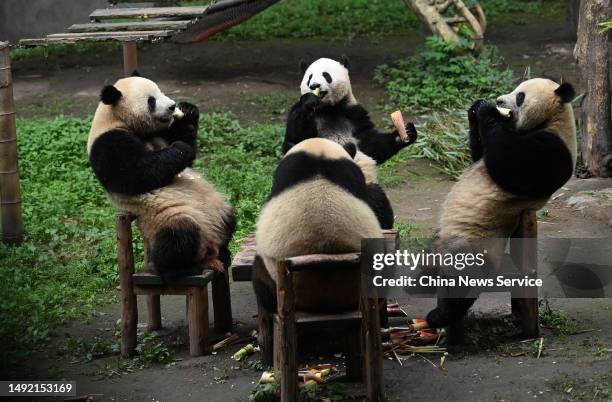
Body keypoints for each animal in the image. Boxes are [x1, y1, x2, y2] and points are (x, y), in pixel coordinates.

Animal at [87, 73, 235, 280]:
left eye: (161, 91)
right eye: (151, 100)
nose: (172, 106)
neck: (115, 117)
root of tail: (207, 250)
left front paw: (189, 111)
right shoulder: (108, 144)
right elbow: (137, 175)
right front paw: (181, 149)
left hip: (214, 205)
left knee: (228, 216)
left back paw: (223, 250)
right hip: (166, 217)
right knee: (178, 238)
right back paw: (182, 269)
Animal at [284, 55, 418, 164]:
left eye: (326, 75)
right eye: (309, 78)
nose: (314, 85)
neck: (328, 108)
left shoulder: (353, 113)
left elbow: (370, 145)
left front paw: (405, 133)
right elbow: (296, 138)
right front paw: (309, 101)